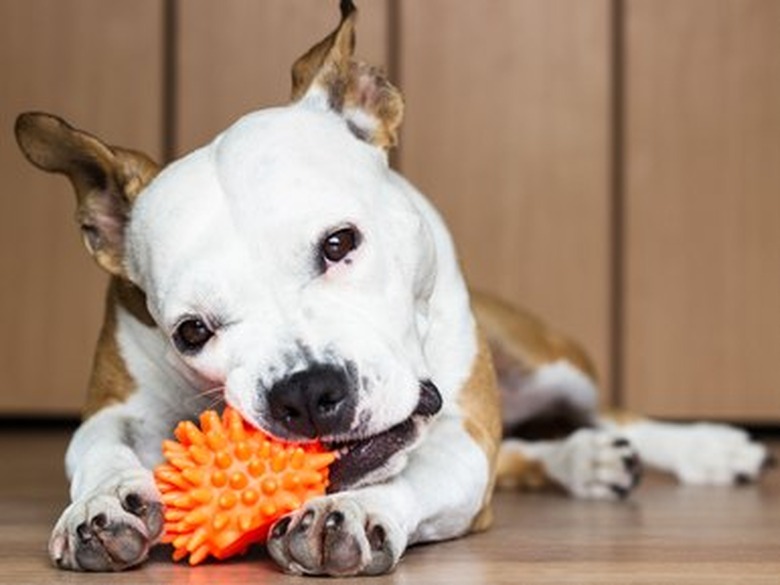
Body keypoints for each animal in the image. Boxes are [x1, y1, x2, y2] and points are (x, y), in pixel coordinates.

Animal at [15, 1, 772, 576]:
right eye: (192, 331)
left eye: (339, 243)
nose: (306, 392)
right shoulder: (114, 402)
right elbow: (95, 445)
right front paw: (101, 504)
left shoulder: (463, 438)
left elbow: (420, 473)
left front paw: (354, 510)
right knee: (528, 452)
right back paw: (583, 461)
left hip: (552, 362)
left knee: (611, 412)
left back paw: (708, 448)